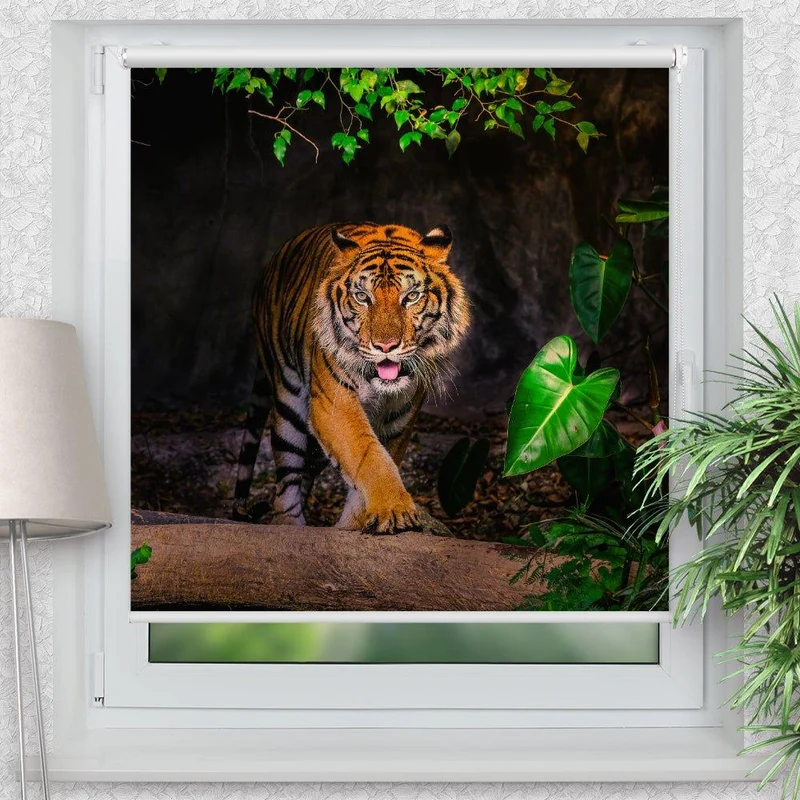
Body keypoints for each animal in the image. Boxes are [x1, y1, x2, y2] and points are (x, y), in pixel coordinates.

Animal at [233, 222, 470, 535]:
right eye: (362, 298)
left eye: (410, 297)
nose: (385, 346)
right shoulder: (334, 405)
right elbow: (368, 456)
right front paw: (394, 509)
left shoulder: (400, 418)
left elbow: (378, 460)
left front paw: (355, 524)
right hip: (288, 406)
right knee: (287, 482)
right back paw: (289, 525)